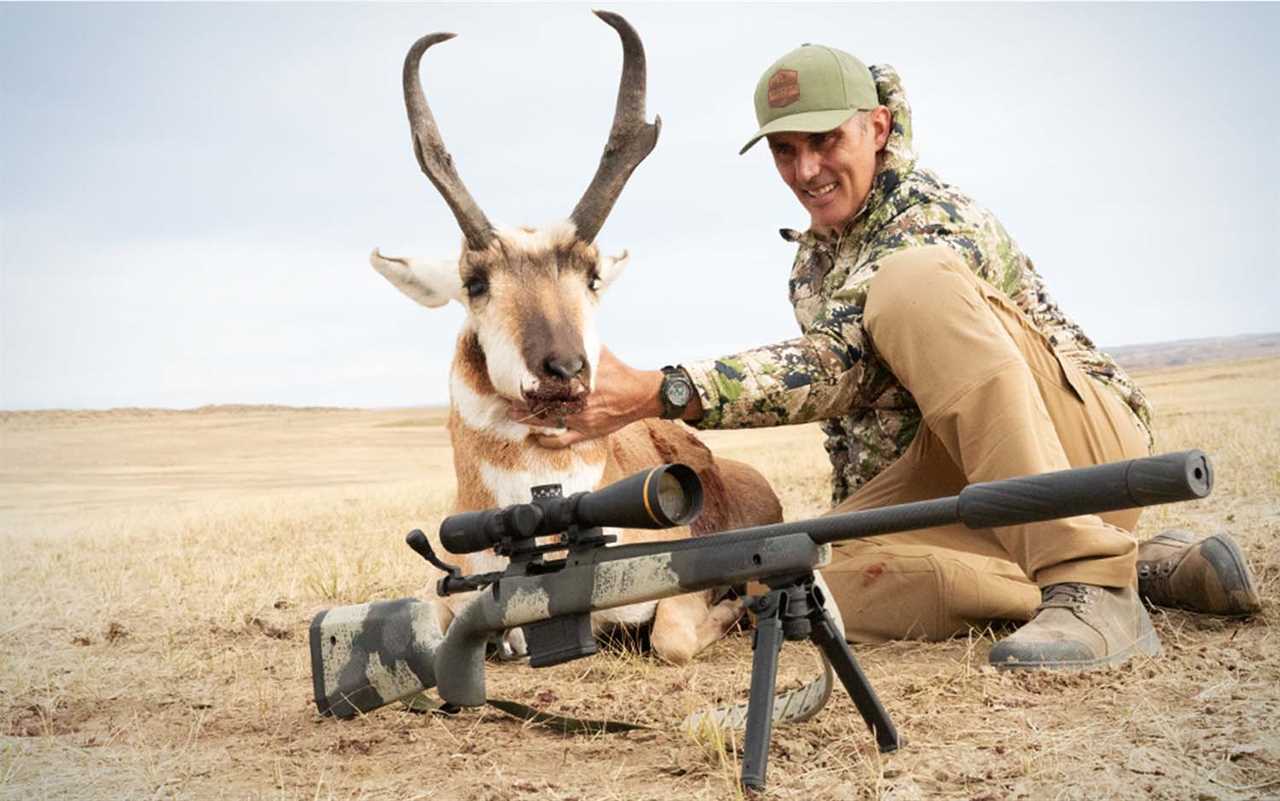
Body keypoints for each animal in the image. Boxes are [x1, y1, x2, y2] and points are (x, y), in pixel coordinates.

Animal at [366, 12, 773, 660]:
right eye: (475, 282)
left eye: (592, 275)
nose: (563, 369)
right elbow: (430, 617)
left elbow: (669, 636)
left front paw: (734, 605)